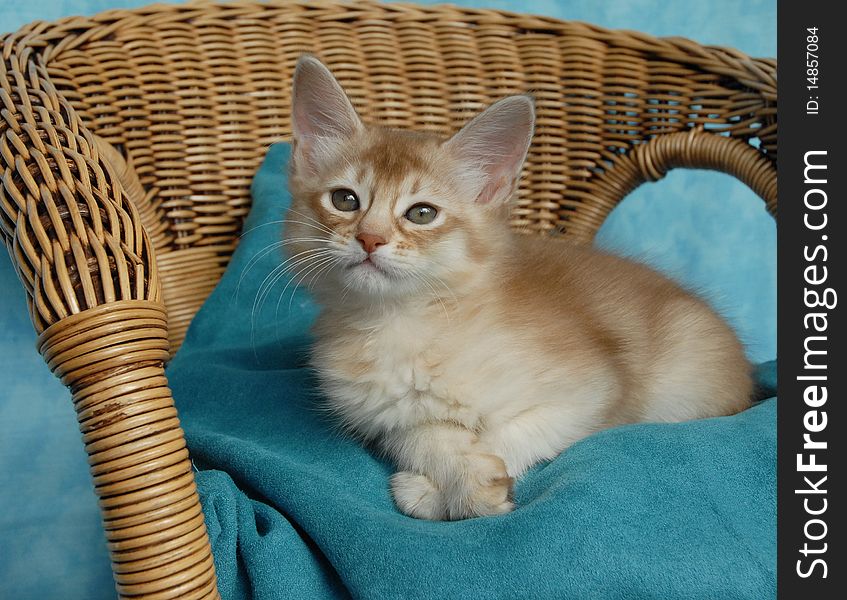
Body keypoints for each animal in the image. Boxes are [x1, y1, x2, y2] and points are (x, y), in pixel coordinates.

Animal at [284, 58, 756, 524]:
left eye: (421, 213)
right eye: (345, 200)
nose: (369, 239)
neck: (397, 323)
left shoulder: (598, 387)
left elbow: (511, 432)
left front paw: (456, 491)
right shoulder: (383, 418)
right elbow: (420, 434)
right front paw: (449, 476)